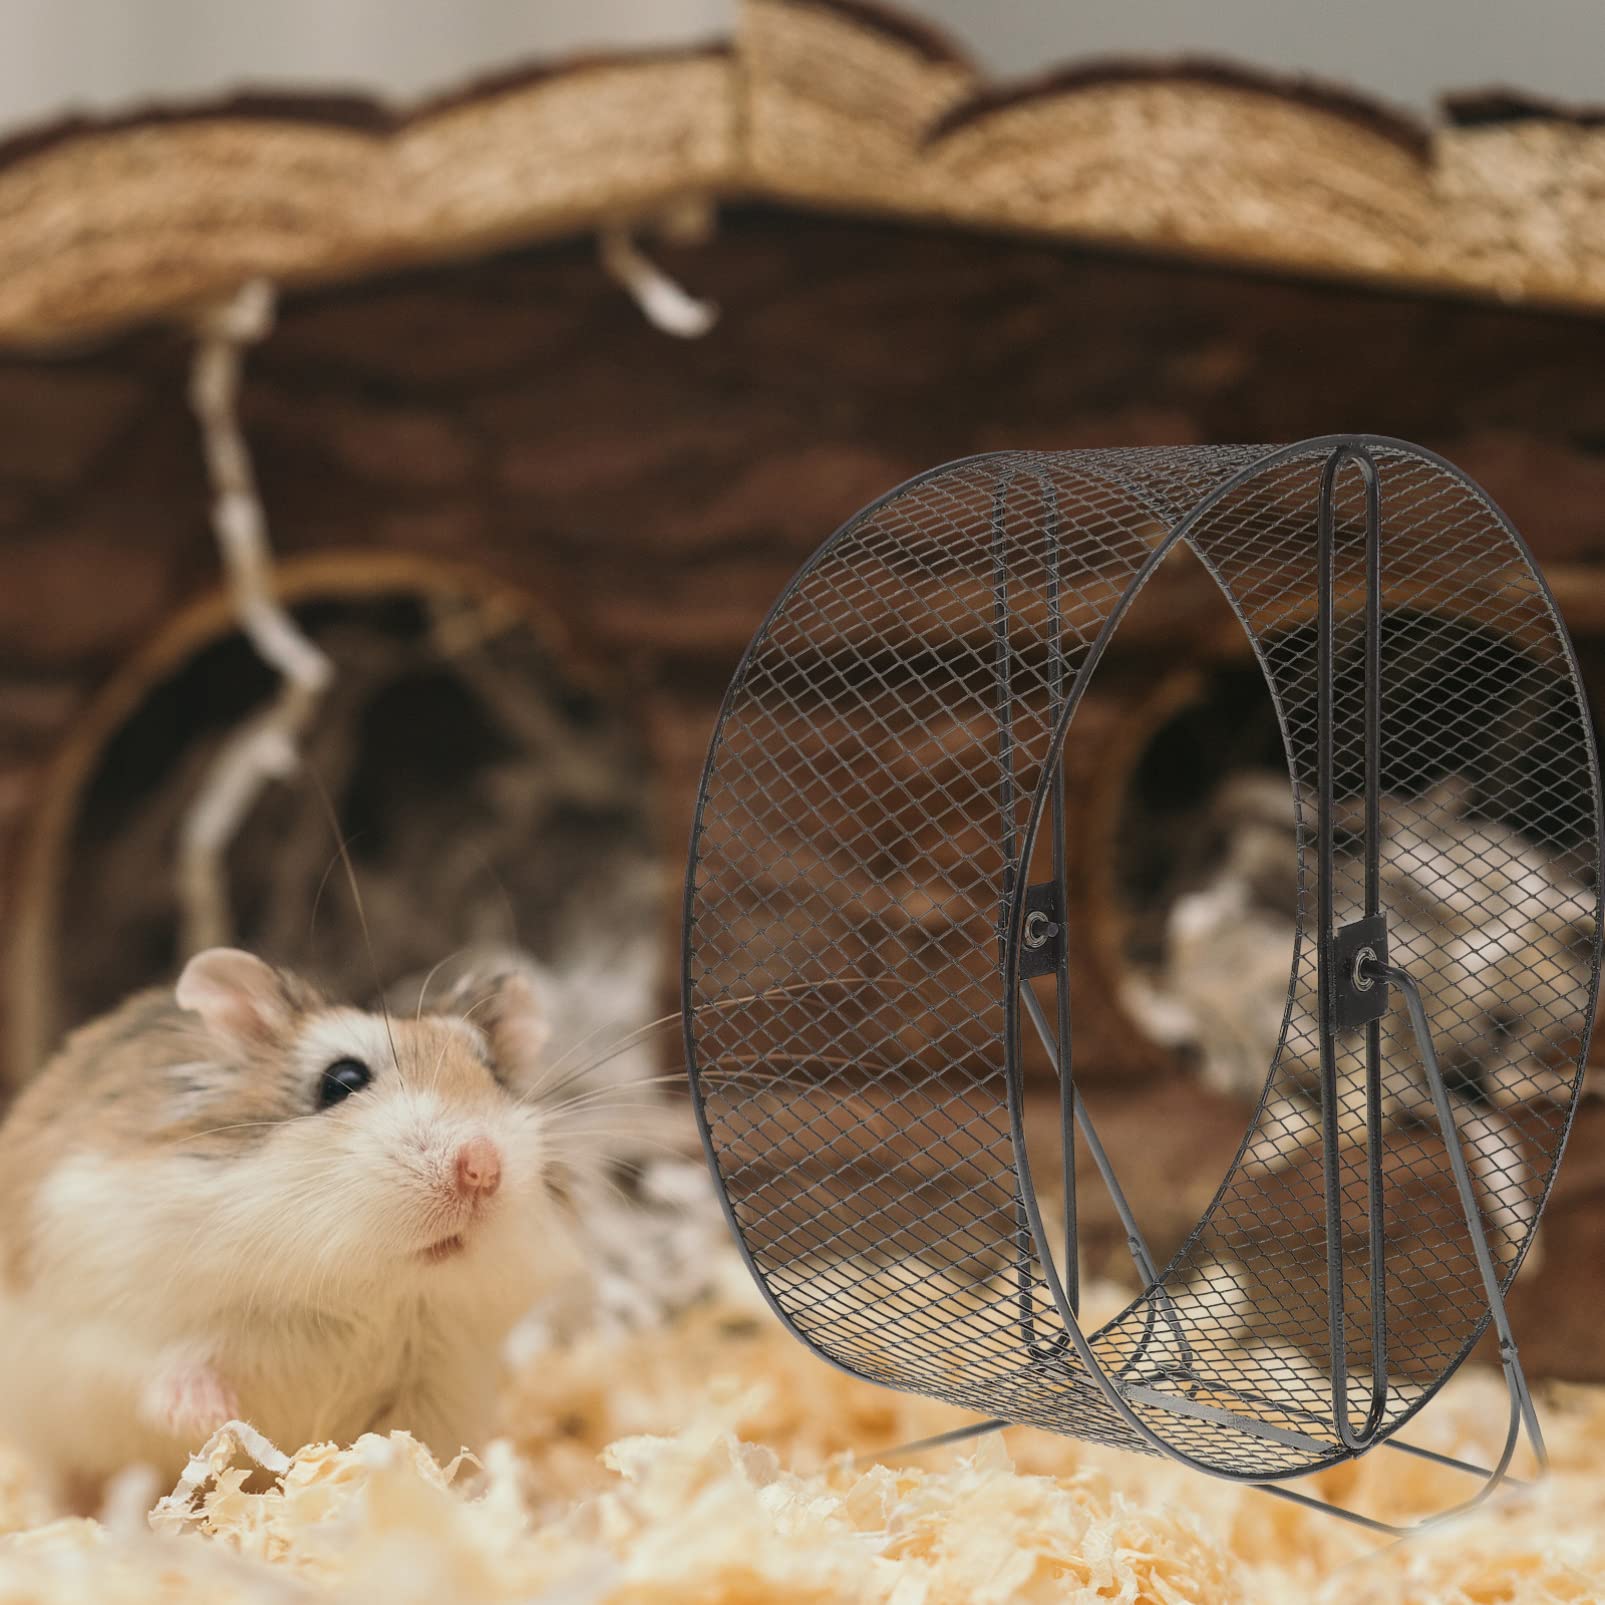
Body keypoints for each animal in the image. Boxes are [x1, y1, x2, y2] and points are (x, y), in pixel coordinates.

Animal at [0, 947, 580, 1505]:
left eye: (496, 1077)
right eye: (342, 1080)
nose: (482, 1168)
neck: (365, 1291)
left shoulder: (440, 1382)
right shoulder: (110, 1315)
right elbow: (160, 1367)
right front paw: (212, 1416)